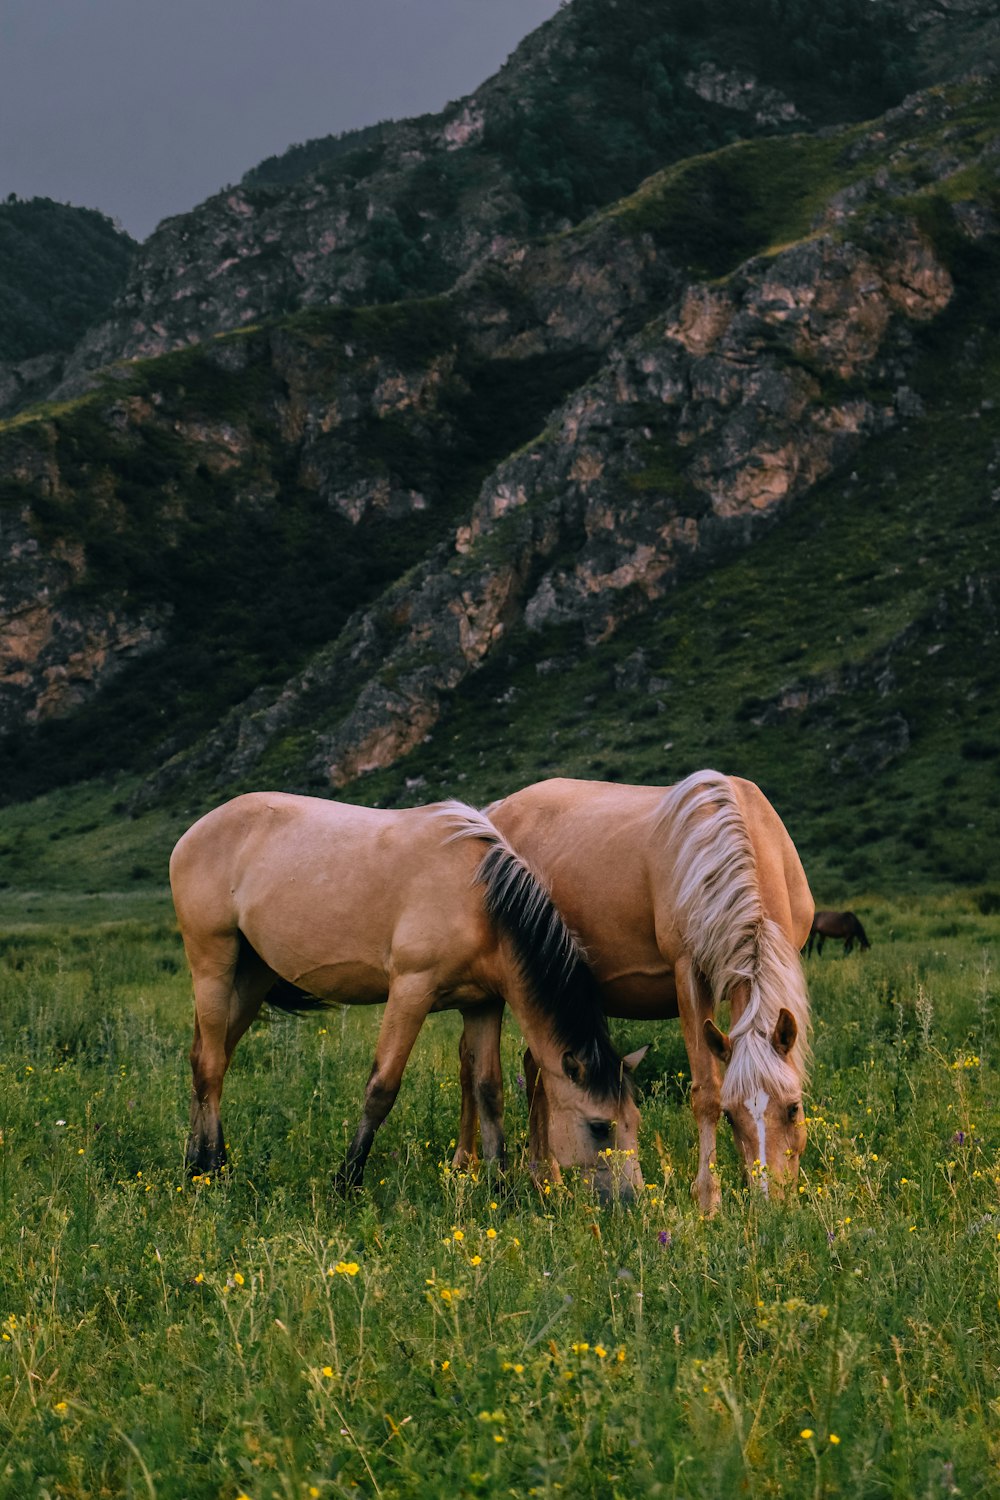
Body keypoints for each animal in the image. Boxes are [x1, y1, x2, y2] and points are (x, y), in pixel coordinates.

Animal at [169, 792, 644, 1200]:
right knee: (209, 1063)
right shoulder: (411, 990)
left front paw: (499, 1188)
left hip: (252, 975)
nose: (630, 1200)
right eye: (600, 1127)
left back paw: (197, 1163)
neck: (479, 901)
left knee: (209, 1059)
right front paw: (347, 1181)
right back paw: (211, 1167)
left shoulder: (483, 1004)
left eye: (634, 1121)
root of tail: (196, 831)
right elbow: (382, 1087)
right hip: (213, 963)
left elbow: (489, 1091)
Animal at [452, 774, 815, 1218]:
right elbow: (706, 1092)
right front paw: (708, 1199)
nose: (769, 1202)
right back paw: (467, 1166)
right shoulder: (688, 972)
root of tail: (493, 812)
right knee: (474, 1063)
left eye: (794, 1107)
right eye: (731, 1117)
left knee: (534, 1070)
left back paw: (545, 1181)